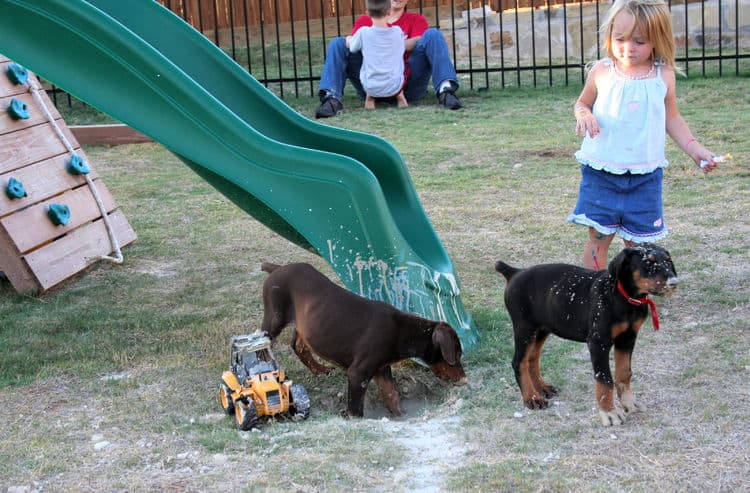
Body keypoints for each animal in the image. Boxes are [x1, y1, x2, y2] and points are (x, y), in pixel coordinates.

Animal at [262, 262, 468, 416]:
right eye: (456, 354)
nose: (464, 379)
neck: (401, 332)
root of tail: (277, 268)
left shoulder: (382, 369)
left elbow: (392, 395)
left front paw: (400, 416)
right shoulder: (358, 374)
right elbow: (356, 409)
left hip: (305, 324)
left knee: (298, 346)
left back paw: (319, 370)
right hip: (275, 317)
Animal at [496, 244, 680, 424]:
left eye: (668, 261)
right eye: (648, 263)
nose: (674, 283)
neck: (624, 298)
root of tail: (515, 272)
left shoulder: (627, 339)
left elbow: (624, 373)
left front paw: (629, 402)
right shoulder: (599, 342)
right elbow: (604, 379)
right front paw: (609, 413)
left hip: (542, 328)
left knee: (532, 359)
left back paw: (542, 388)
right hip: (525, 328)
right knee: (519, 362)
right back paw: (532, 398)